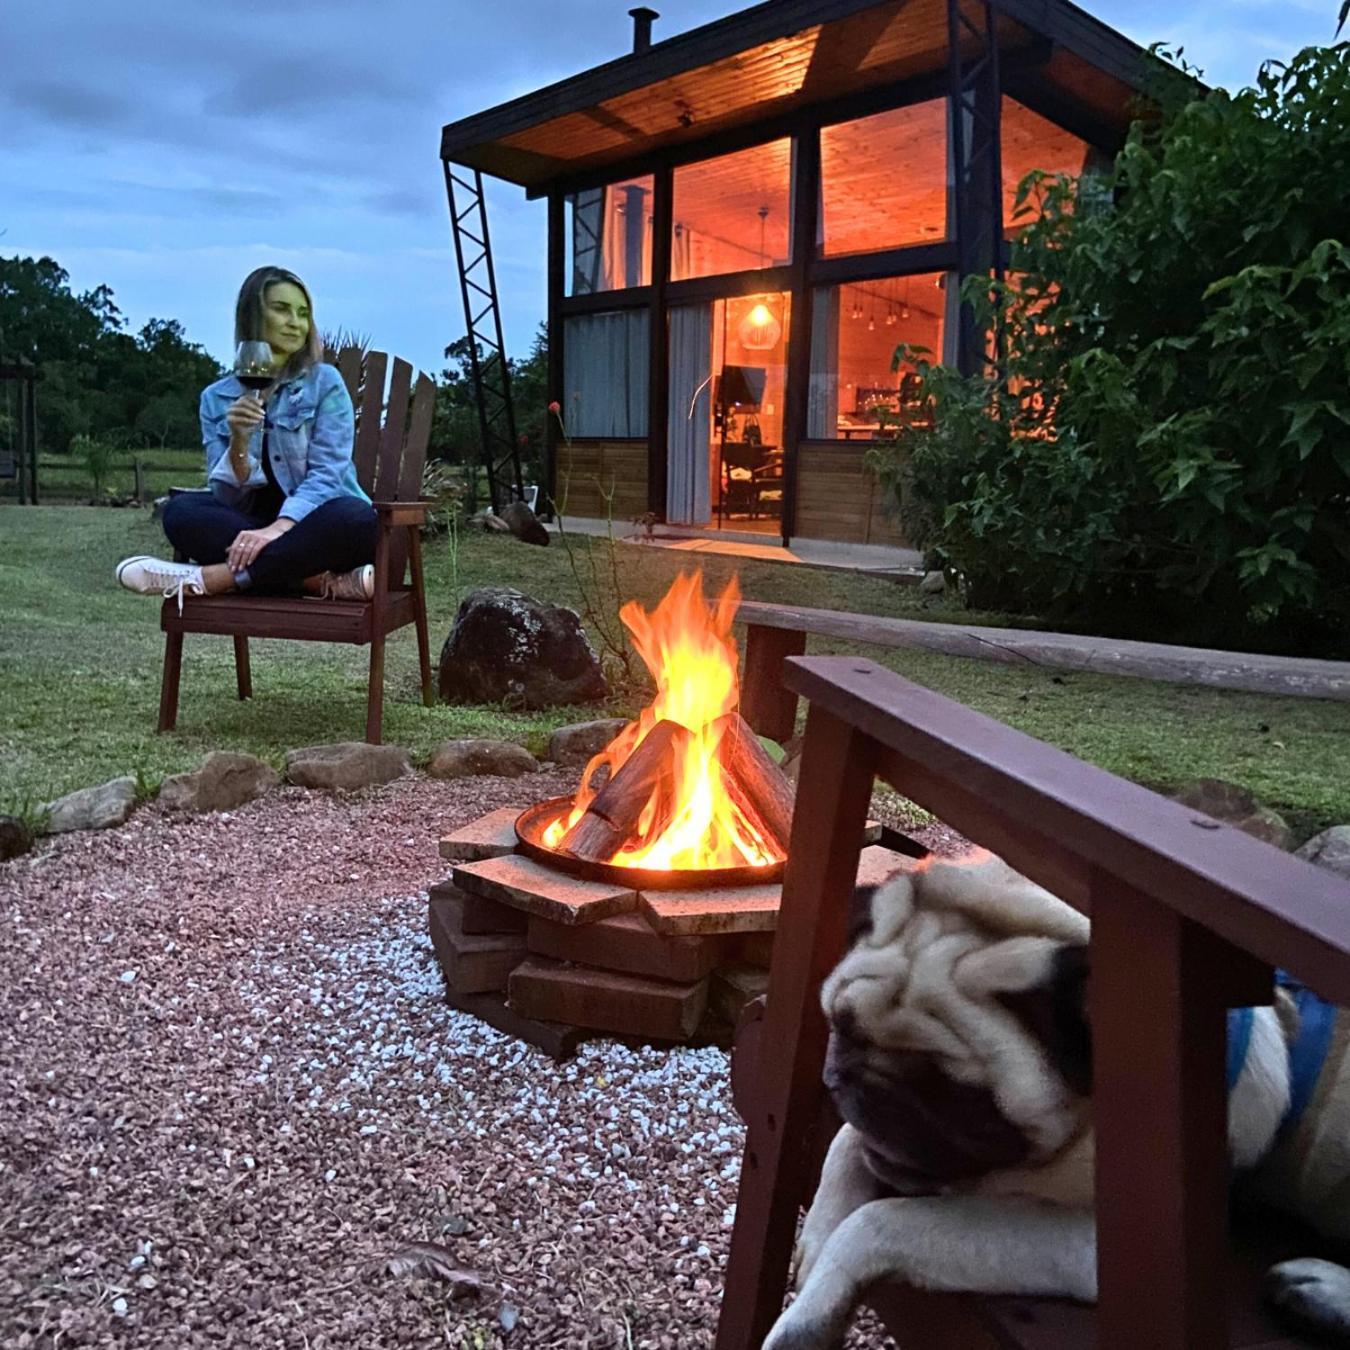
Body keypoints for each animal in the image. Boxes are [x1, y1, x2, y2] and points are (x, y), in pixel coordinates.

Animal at [766, 853, 1350, 1350]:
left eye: (956, 1096)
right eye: (843, 1029)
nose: (861, 1084)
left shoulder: (1098, 1244)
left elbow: (882, 1223)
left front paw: (806, 1319)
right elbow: (845, 1147)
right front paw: (817, 1235)